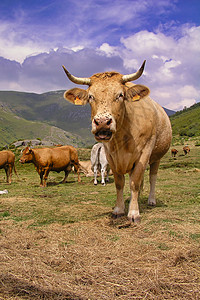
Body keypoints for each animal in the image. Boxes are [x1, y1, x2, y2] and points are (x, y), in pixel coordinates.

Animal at [62, 59, 172, 223]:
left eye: (120, 95)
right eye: (90, 96)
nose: (102, 122)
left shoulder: (144, 153)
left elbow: (134, 182)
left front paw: (133, 213)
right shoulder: (111, 156)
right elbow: (120, 183)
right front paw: (119, 209)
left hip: (156, 157)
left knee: (152, 177)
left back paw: (151, 200)